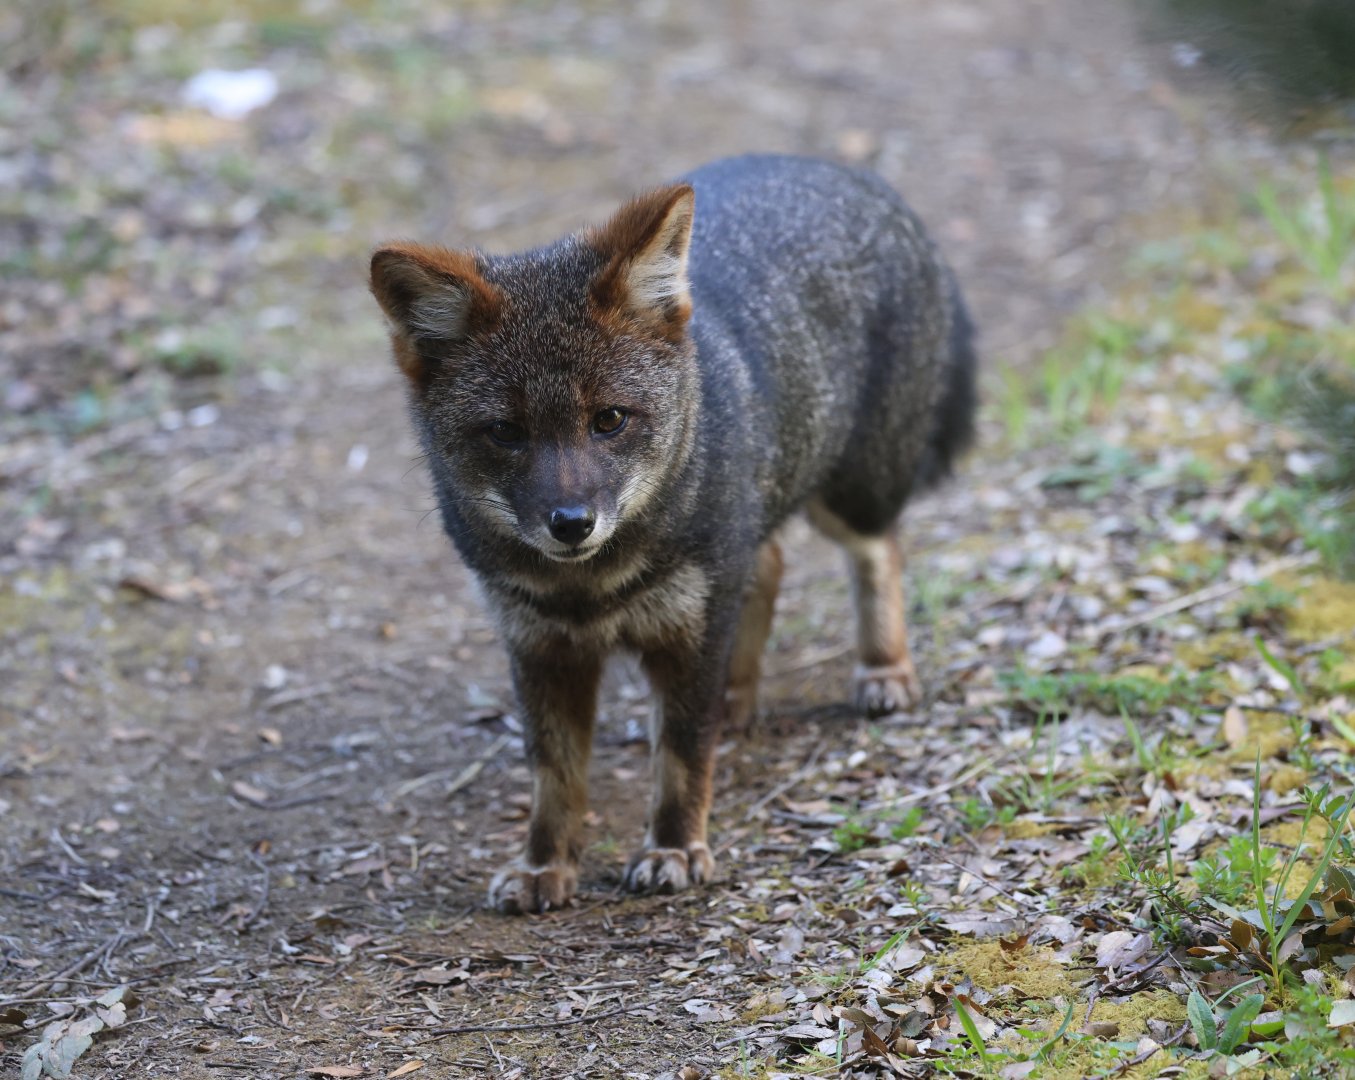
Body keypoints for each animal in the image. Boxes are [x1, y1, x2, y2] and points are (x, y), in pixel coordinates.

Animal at [369, 154, 977, 915]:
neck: (588, 589)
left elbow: (683, 753)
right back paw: (739, 698)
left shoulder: (688, 628)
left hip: (851, 494)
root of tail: (842, 170)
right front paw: (543, 864)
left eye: (609, 420)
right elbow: (554, 776)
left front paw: (673, 848)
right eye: (506, 433)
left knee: (878, 550)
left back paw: (882, 669)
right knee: (770, 565)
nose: (571, 523)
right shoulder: (538, 645)